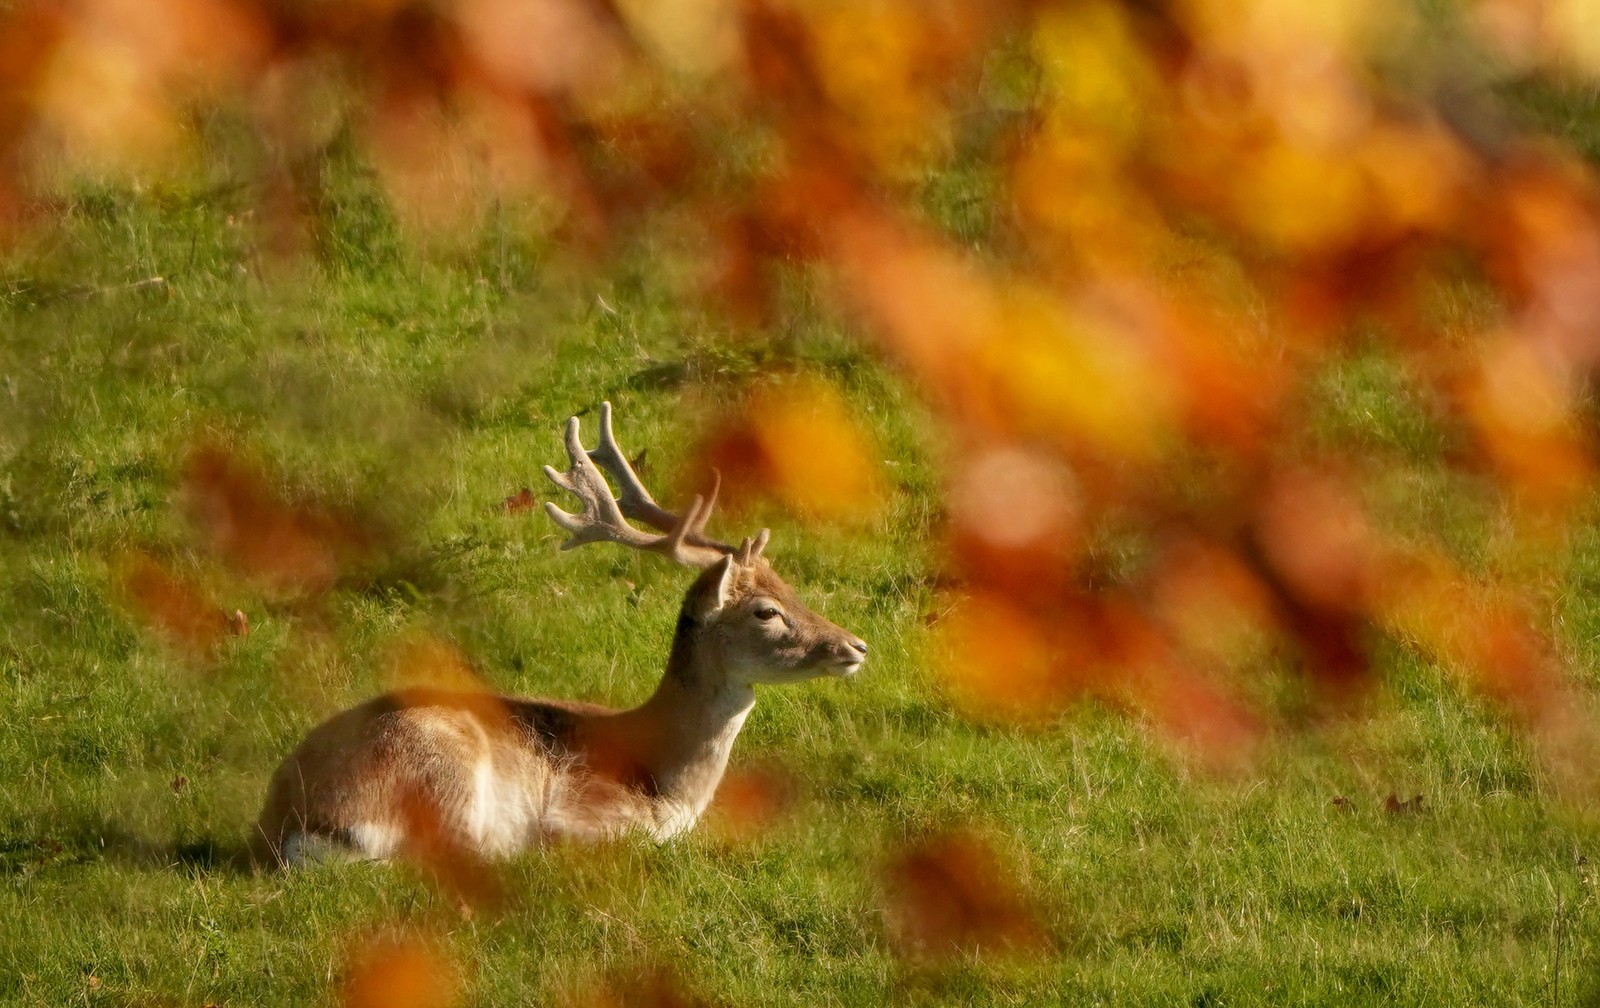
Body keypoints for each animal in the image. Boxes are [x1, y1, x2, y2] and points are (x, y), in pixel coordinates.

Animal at [252, 402, 868, 866]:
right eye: (766, 612)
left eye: (789, 585)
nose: (856, 646)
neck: (666, 774)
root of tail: (286, 820)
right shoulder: (586, 812)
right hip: (441, 772)